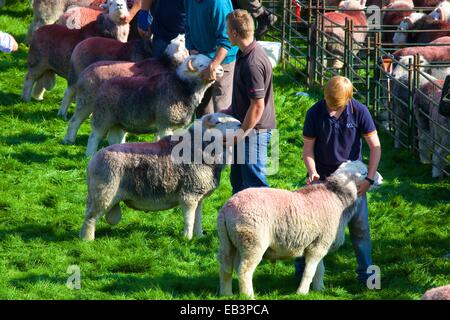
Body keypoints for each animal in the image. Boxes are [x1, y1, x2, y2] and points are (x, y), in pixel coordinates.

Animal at [81, 112, 243, 240]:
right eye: (218, 122)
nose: (241, 124)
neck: (199, 149)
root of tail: (93, 160)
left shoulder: (199, 196)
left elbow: (198, 219)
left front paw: (199, 236)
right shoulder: (189, 195)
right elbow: (189, 220)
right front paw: (187, 238)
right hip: (104, 192)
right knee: (90, 218)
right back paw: (87, 240)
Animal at [83, 53, 224, 156]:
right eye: (201, 65)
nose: (221, 69)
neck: (181, 86)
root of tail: (104, 85)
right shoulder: (166, 124)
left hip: (117, 122)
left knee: (113, 138)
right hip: (102, 117)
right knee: (94, 137)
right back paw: (89, 155)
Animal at [218, 160, 384, 298]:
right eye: (364, 173)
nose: (381, 179)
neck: (338, 198)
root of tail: (227, 208)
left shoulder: (318, 242)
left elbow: (319, 269)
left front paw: (320, 289)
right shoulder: (320, 244)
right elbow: (309, 271)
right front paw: (302, 293)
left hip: (229, 242)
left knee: (226, 266)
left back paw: (226, 294)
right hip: (252, 241)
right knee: (244, 270)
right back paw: (248, 296)